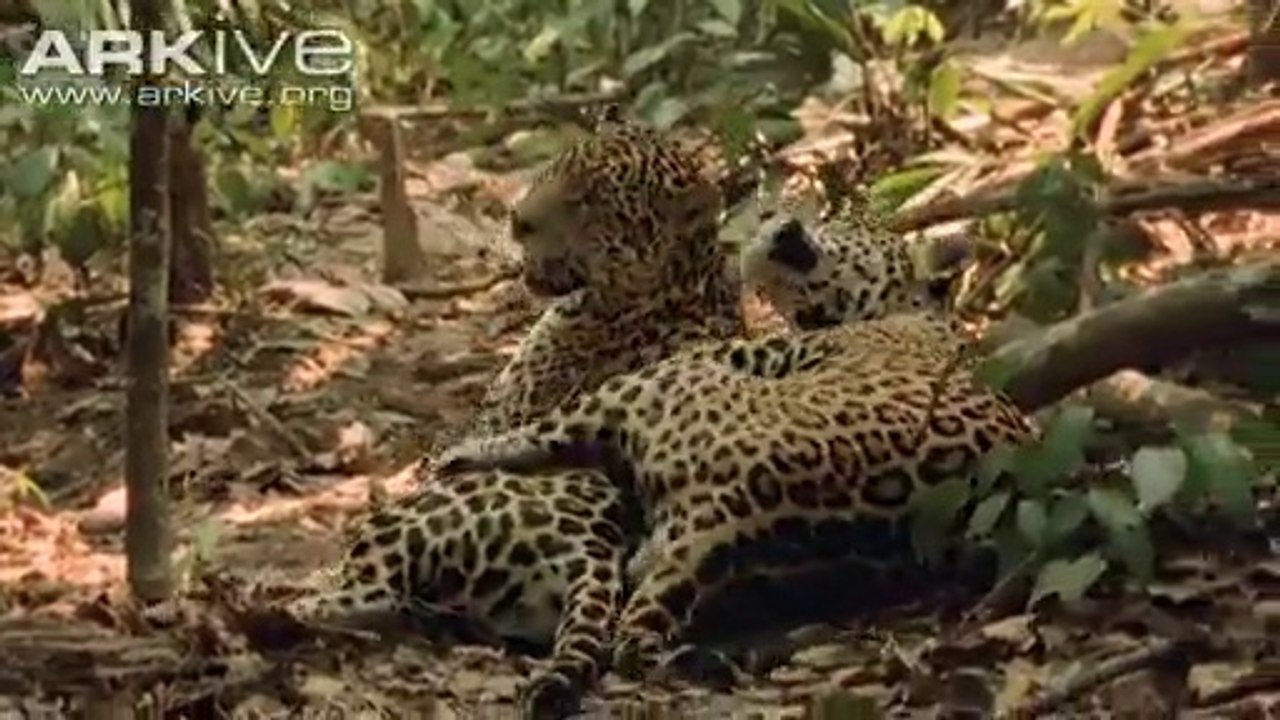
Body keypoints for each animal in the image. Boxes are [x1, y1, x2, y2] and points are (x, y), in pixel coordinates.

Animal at [286, 116, 747, 719]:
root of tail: (595, 549)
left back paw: (287, 598)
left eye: (590, 202)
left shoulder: (492, 422)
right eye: (555, 168)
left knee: (372, 590)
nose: (519, 218)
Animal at [434, 205, 1040, 686]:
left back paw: (457, 459)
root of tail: (731, 513)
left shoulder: (724, 357)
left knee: (546, 438)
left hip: (652, 386)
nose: (781, 220)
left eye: (844, 227)